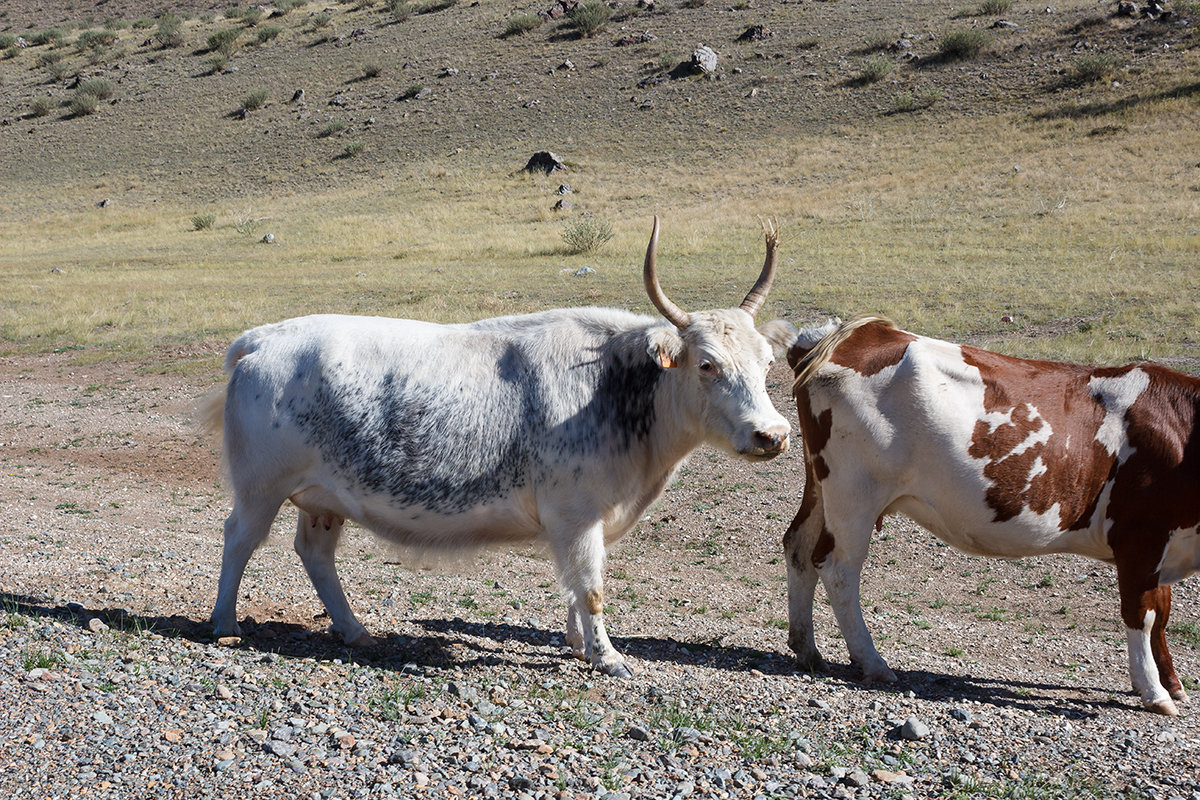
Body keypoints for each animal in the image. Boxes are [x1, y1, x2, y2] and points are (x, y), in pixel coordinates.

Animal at [206, 217, 796, 676]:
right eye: (707, 365)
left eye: (769, 362)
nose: (773, 434)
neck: (614, 385)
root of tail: (261, 339)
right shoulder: (576, 514)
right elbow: (592, 586)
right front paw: (609, 658)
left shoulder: (587, 522)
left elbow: (575, 586)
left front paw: (577, 644)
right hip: (261, 488)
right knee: (239, 540)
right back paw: (224, 624)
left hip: (323, 499)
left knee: (316, 555)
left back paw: (355, 631)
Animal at [777, 316, 1200, 714]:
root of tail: (844, 336)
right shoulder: (1142, 534)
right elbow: (1143, 613)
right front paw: (1154, 691)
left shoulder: (1163, 542)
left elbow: (1161, 610)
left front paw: (1172, 683)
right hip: (854, 494)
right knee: (837, 568)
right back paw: (872, 661)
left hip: (822, 487)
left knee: (798, 546)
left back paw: (807, 649)